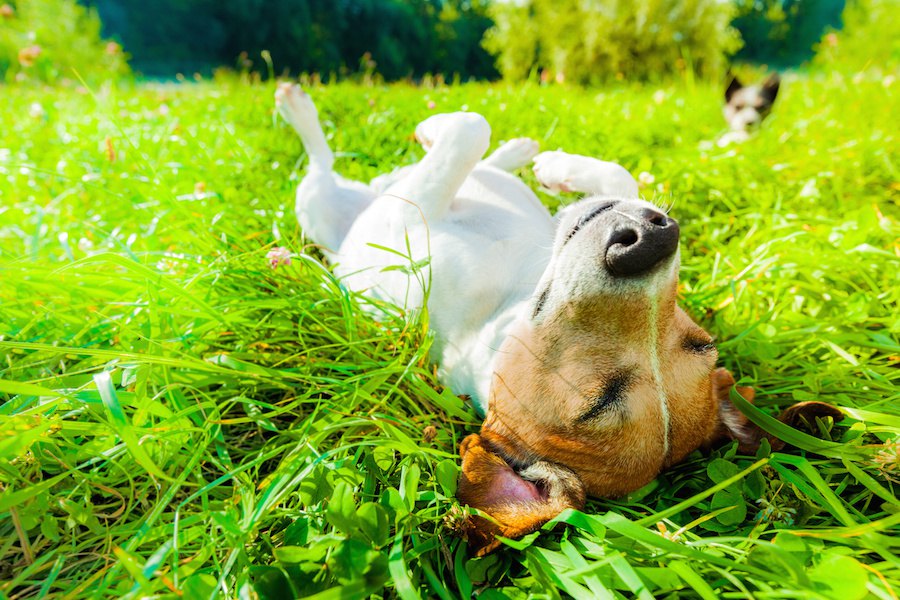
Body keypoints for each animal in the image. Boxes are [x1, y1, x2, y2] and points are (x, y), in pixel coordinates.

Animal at [272, 82, 836, 556]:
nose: (650, 242)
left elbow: (468, 130)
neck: (513, 294)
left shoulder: (409, 229)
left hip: (318, 208)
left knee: (321, 170)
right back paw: (516, 153)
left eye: (596, 403)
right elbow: (609, 174)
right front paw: (557, 168)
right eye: (702, 342)